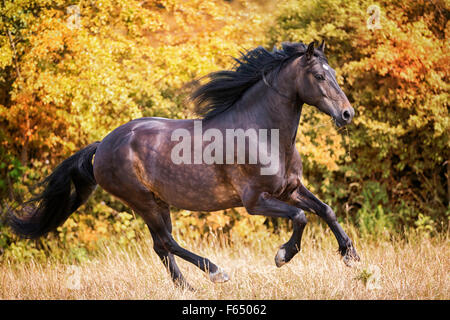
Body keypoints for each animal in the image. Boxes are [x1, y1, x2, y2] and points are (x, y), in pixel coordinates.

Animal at [8, 41, 360, 288]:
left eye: (334, 74)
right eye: (319, 76)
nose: (347, 114)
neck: (263, 133)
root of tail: (102, 145)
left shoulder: (290, 189)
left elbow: (325, 210)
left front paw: (352, 257)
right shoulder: (255, 202)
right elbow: (301, 217)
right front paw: (282, 256)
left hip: (157, 202)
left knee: (160, 246)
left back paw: (187, 288)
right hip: (143, 201)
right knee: (166, 242)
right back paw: (215, 273)